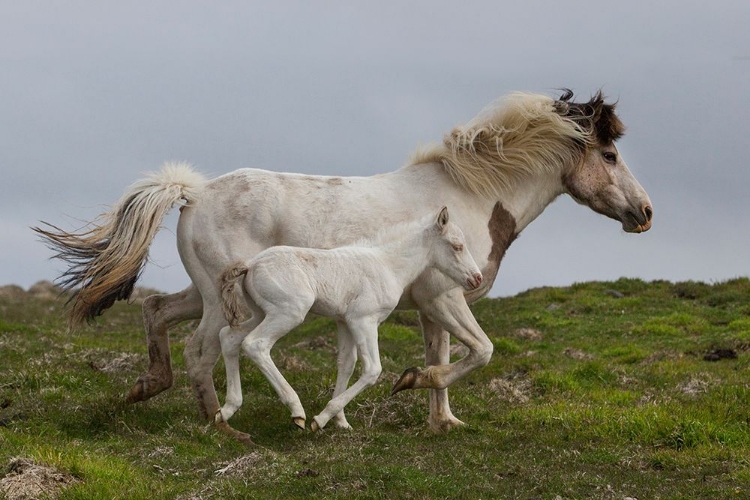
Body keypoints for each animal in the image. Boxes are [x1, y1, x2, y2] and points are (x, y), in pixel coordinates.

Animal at [214, 207, 484, 434]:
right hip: (289, 312)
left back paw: (226, 411)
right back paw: (296, 411)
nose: (477, 278)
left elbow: (346, 364)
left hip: (262, 313)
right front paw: (321, 418)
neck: (387, 265)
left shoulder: (344, 322)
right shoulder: (364, 320)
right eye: (457, 246)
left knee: (229, 338)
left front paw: (341, 421)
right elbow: (372, 369)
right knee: (255, 344)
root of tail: (251, 264)